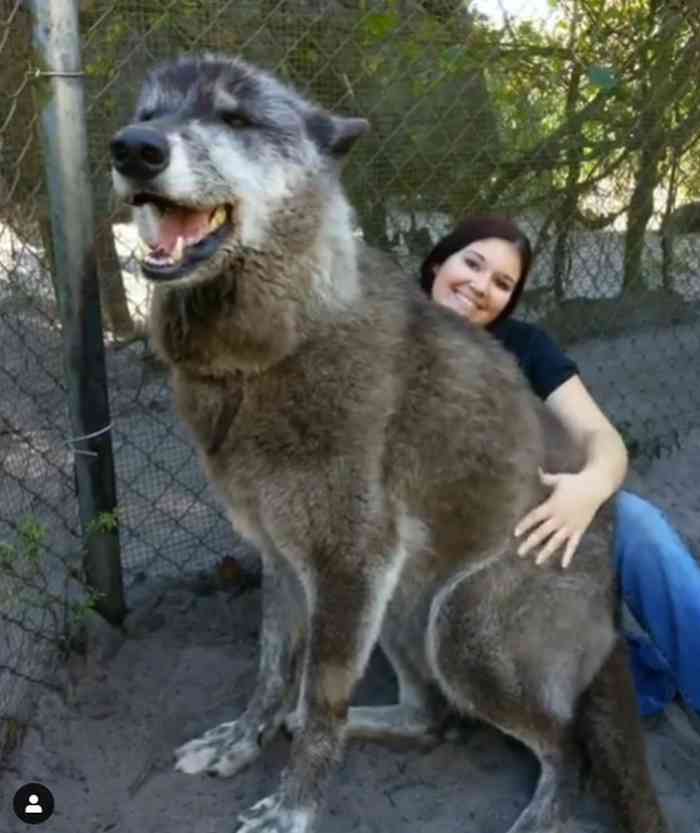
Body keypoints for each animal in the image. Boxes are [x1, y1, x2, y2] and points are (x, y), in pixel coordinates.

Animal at [110, 53, 672, 832]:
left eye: (235, 118)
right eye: (149, 112)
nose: (133, 148)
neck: (276, 348)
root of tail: (611, 613)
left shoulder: (350, 564)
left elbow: (321, 700)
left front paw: (293, 808)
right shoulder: (283, 559)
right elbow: (272, 669)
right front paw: (244, 737)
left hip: (458, 627)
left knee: (565, 744)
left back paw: (541, 811)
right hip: (405, 607)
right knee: (431, 715)